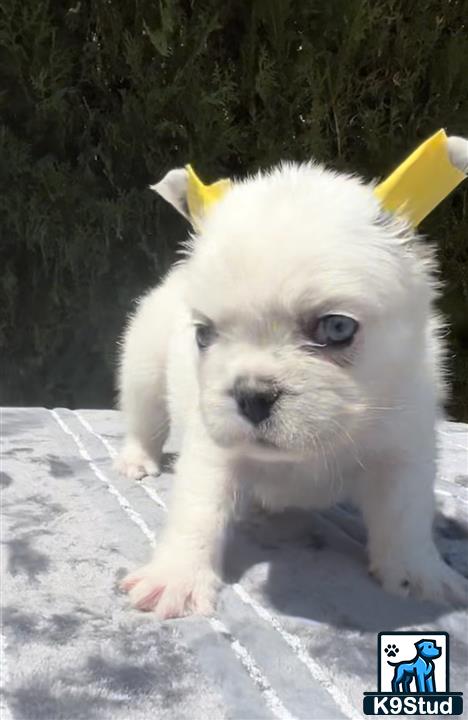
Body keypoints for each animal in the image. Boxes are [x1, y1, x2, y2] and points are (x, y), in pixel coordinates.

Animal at [115, 160, 466, 616]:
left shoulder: (404, 449)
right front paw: (177, 576)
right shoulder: (214, 451)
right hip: (143, 369)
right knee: (145, 421)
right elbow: (198, 509)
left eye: (337, 328)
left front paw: (420, 574)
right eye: (204, 335)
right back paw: (137, 460)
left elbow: (405, 516)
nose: (251, 396)